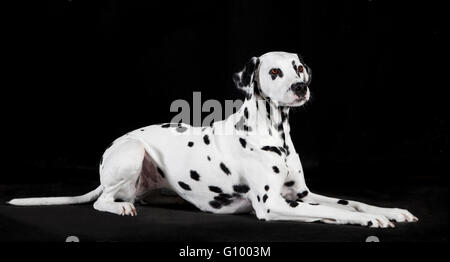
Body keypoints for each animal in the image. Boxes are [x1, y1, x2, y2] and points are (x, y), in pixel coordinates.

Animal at [8, 51, 420, 227]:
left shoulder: (302, 194)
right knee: (102, 202)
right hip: (132, 152)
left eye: (298, 67)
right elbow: (336, 212)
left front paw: (390, 210)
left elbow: (351, 202)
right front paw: (371, 221)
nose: (300, 87)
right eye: (274, 71)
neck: (274, 135)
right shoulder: (272, 205)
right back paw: (118, 207)